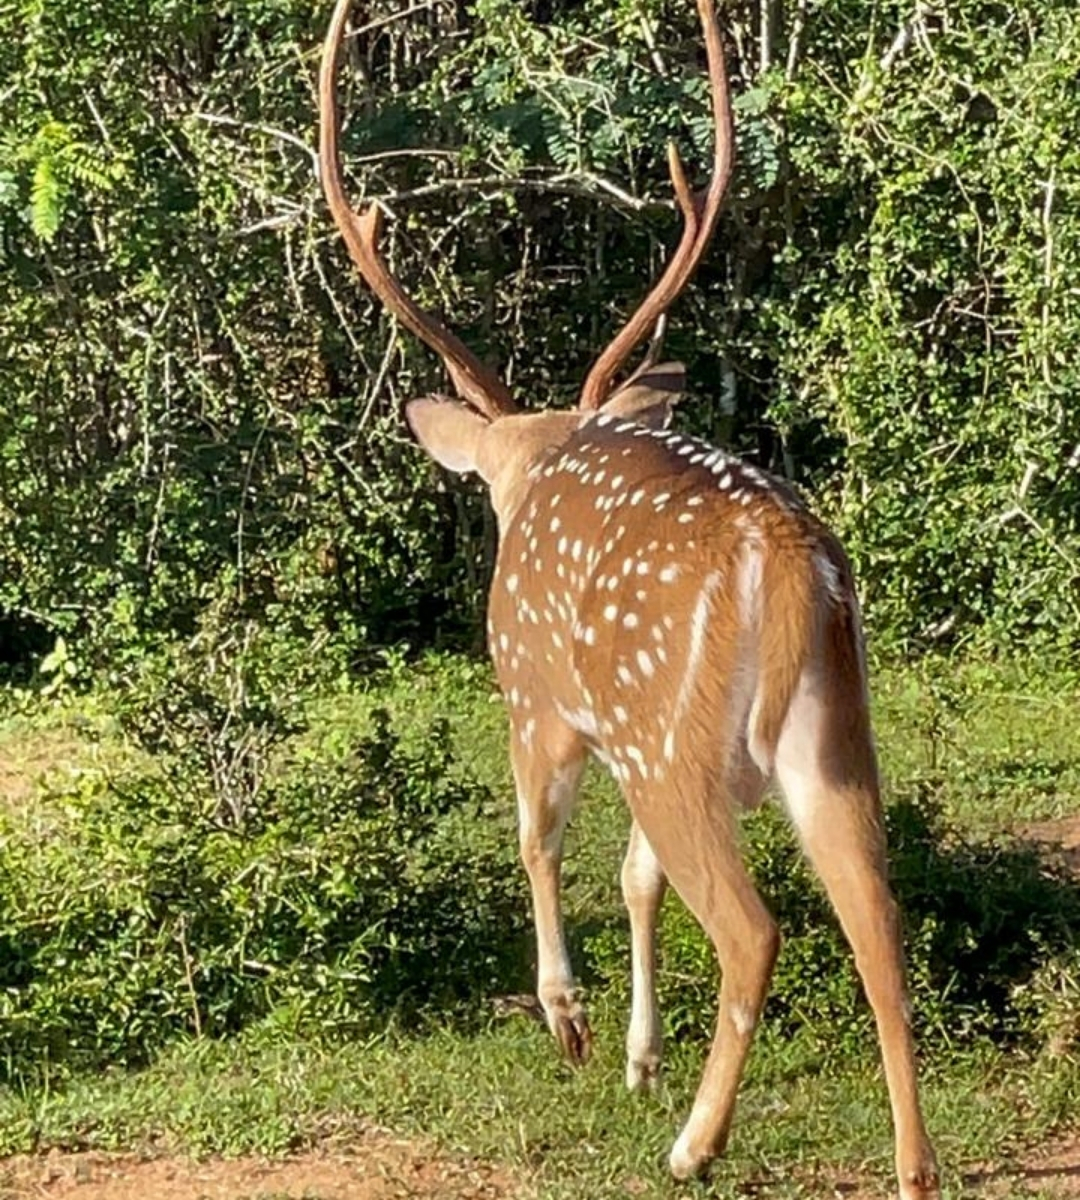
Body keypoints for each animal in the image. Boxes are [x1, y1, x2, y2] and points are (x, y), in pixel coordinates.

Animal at [319, 2, 939, 1197]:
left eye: (492, 494)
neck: (538, 464)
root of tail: (782, 557)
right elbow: (637, 876)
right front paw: (641, 1058)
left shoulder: (537, 703)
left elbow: (539, 839)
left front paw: (572, 1023)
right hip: (827, 737)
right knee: (879, 920)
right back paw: (912, 1167)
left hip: (667, 735)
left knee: (754, 927)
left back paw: (695, 1144)